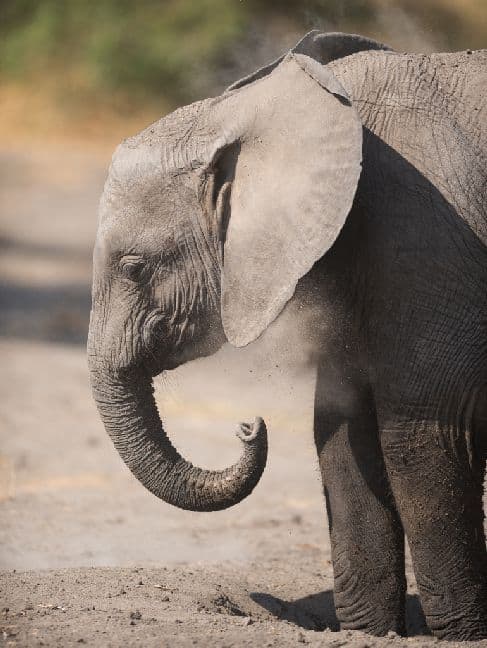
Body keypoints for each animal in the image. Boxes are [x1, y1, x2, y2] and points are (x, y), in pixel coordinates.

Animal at [88, 31, 487, 640]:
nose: (249, 425)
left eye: (134, 268)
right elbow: (341, 431)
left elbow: (423, 436)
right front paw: (367, 634)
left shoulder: (430, 239)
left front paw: (463, 634)